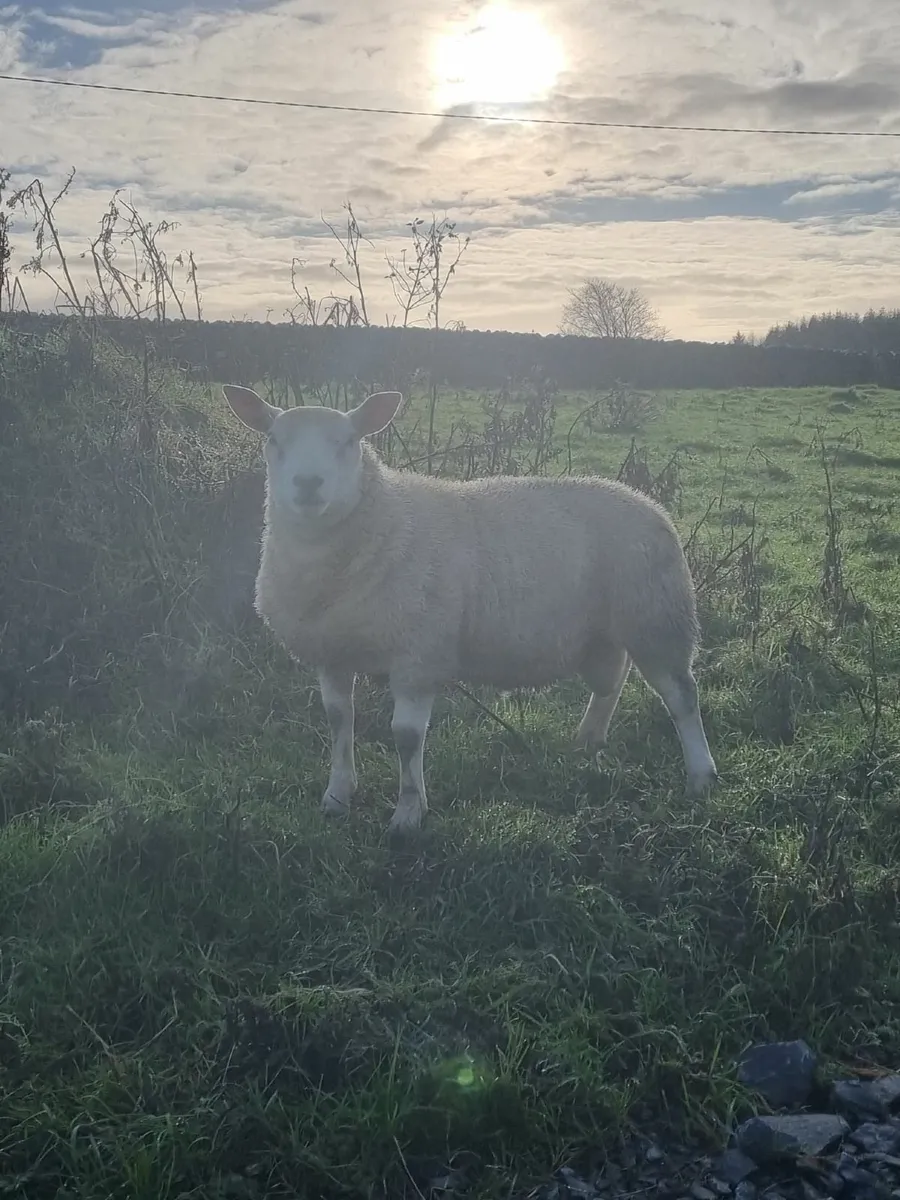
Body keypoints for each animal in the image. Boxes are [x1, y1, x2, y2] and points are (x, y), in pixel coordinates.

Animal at [223, 384, 718, 837]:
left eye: (347, 441)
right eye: (273, 439)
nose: (307, 484)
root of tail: (645, 500)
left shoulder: (419, 654)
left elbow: (406, 736)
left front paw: (408, 813)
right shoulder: (332, 653)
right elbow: (338, 720)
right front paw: (337, 795)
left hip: (658, 616)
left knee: (682, 697)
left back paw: (701, 775)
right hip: (610, 627)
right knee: (612, 681)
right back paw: (589, 738)